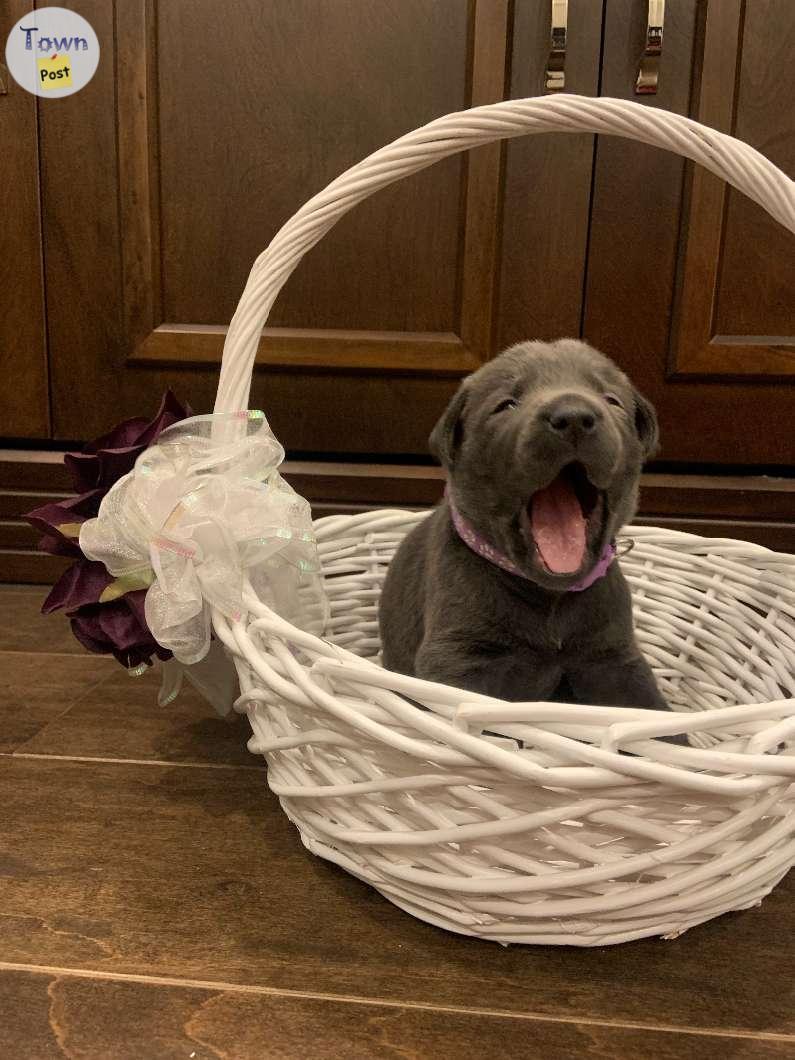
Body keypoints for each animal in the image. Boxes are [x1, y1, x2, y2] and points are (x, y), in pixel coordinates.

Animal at [379, 339, 674, 712]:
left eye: (611, 399)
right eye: (506, 404)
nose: (573, 416)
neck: (550, 597)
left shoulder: (614, 657)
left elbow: (651, 710)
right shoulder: (456, 657)